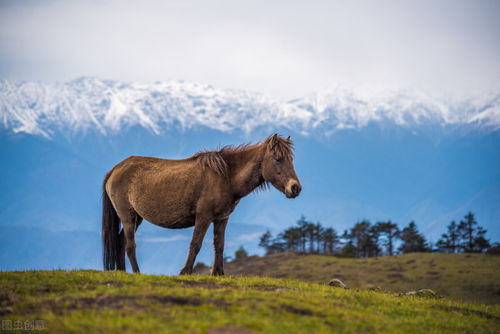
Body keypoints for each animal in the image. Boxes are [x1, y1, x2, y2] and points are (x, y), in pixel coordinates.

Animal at [101, 134, 300, 276]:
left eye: (291, 159)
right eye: (278, 158)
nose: (295, 188)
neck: (226, 176)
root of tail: (116, 169)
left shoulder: (222, 218)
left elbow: (219, 244)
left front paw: (218, 273)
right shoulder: (203, 217)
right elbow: (196, 244)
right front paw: (185, 272)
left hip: (137, 218)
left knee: (121, 242)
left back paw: (122, 272)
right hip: (128, 216)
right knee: (130, 245)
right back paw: (137, 273)